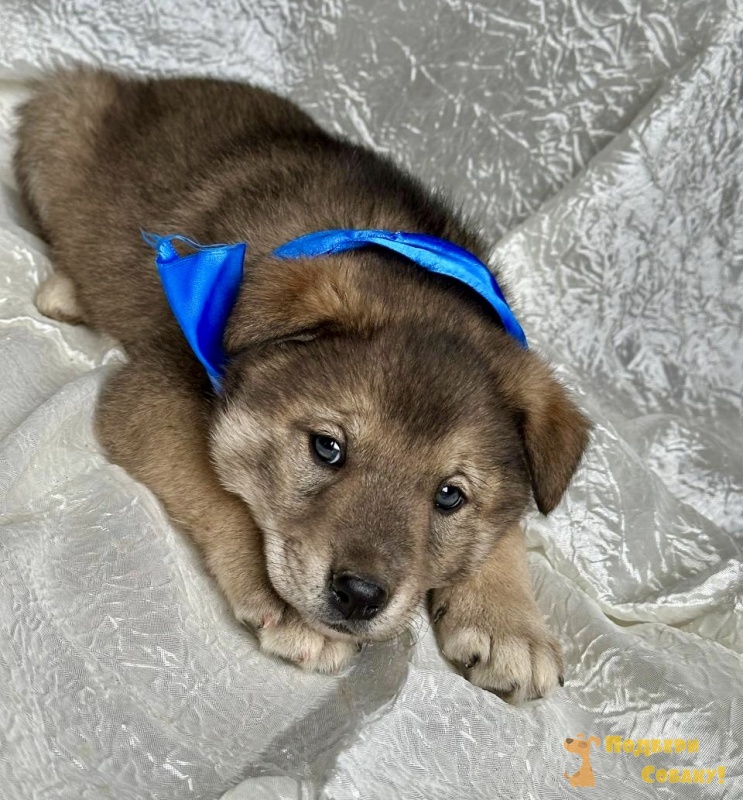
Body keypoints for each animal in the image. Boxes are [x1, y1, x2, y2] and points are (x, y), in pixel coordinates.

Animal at [13, 68, 589, 701]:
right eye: (327, 448)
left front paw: (509, 623)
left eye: (449, 495)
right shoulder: (151, 392)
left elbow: (507, 530)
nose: (359, 597)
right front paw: (286, 606)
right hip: (59, 117)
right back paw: (66, 290)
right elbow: (216, 484)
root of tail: (148, 81)